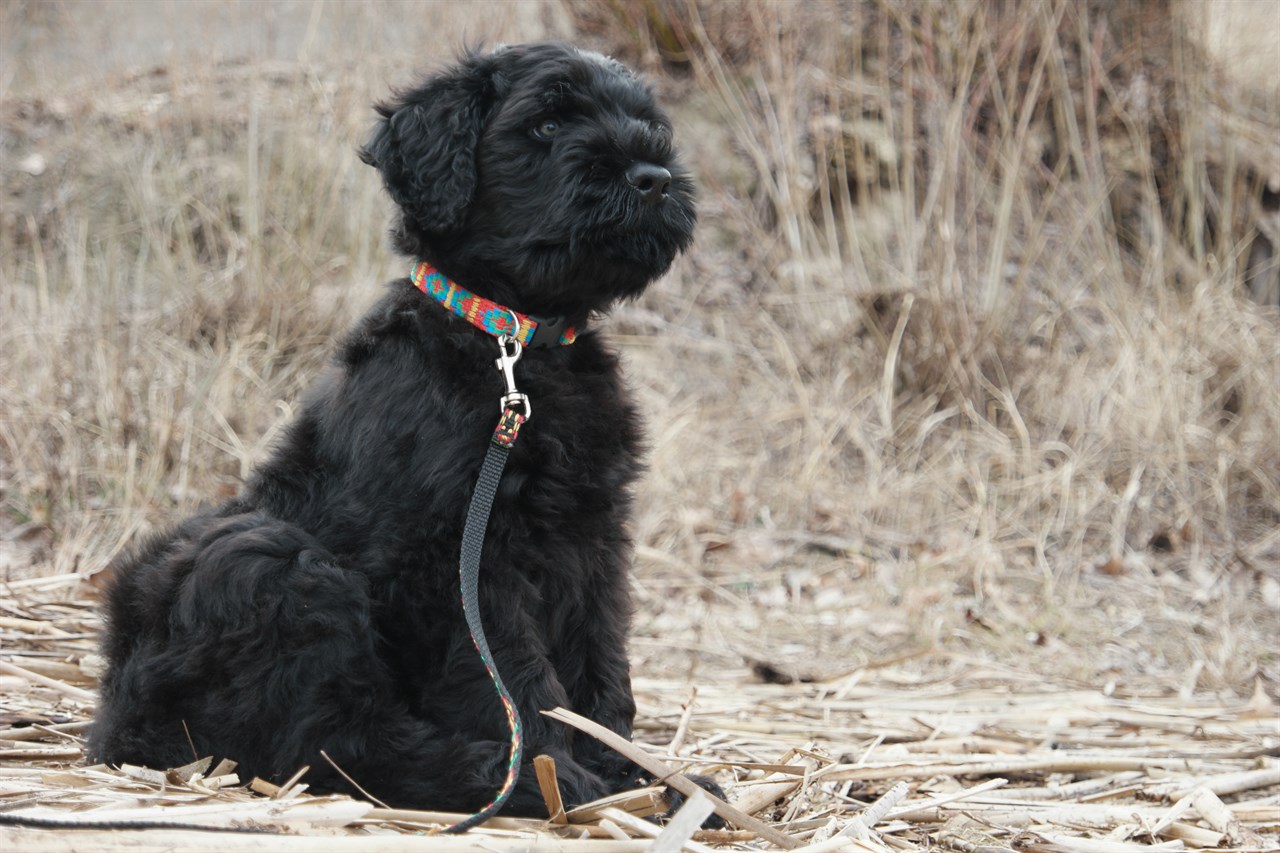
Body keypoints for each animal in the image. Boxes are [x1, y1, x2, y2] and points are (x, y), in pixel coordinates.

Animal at [87, 44, 711, 819]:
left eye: (648, 123)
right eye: (547, 123)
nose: (653, 177)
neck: (514, 342)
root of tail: (111, 724)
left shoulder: (592, 539)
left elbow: (600, 665)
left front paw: (633, 773)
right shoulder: (455, 560)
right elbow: (515, 678)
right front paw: (554, 770)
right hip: (266, 562)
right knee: (325, 742)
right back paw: (498, 780)